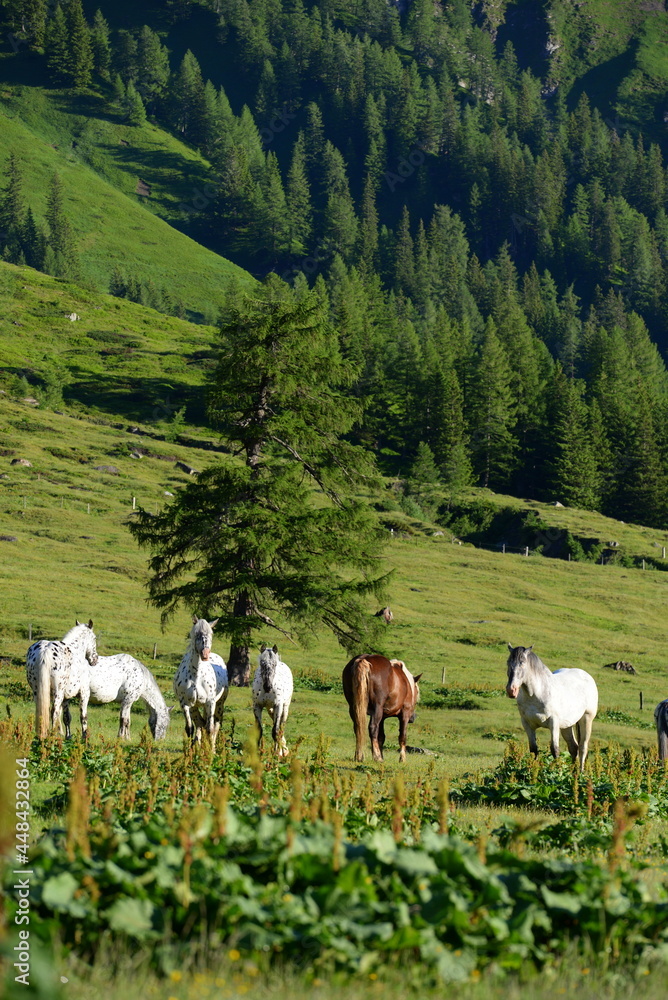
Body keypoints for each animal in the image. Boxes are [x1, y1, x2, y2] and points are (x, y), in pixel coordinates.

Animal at [173, 617, 228, 748]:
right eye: (197, 633)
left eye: (211, 633)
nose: (205, 654)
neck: (196, 676)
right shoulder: (185, 704)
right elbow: (190, 728)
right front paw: (189, 751)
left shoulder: (210, 703)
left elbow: (210, 729)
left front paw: (210, 752)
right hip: (195, 707)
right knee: (199, 724)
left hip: (219, 704)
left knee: (215, 726)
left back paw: (211, 747)